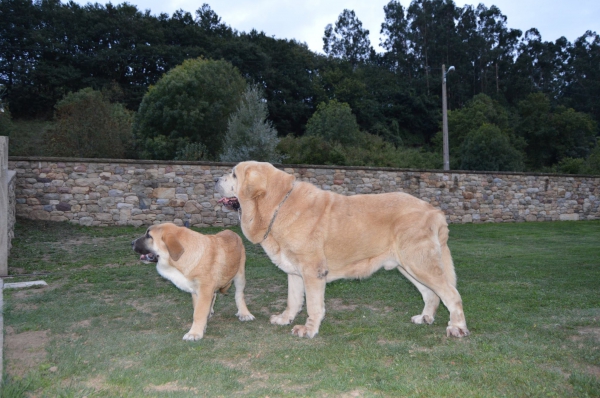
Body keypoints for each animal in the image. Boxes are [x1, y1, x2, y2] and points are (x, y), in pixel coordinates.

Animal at [216, 162, 468, 338]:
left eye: (234, 174)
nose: (216, 178)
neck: (278, 204)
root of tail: (433, 210)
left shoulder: (313, 271)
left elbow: (314, 305)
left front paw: (308, 329)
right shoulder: (294, 272)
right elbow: (293, 300)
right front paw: (285, 319)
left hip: (418, 262)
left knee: (451, 293)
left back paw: (457, 327)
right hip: (408, 266)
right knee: (432, 294)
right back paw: (425, 318)